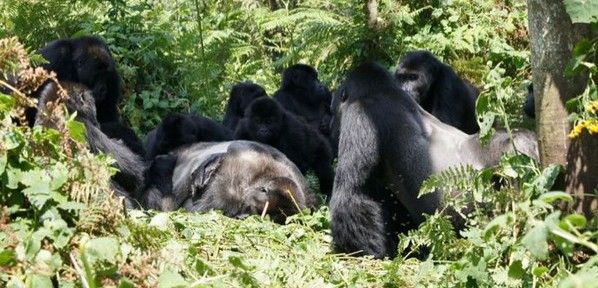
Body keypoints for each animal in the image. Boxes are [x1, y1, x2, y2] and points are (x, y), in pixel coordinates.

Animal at [330, 63, 540, 258]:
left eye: (334, 107)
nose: (331, 123)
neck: (382, 90)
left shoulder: (359, 115)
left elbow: (352, 194)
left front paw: (364, 253)